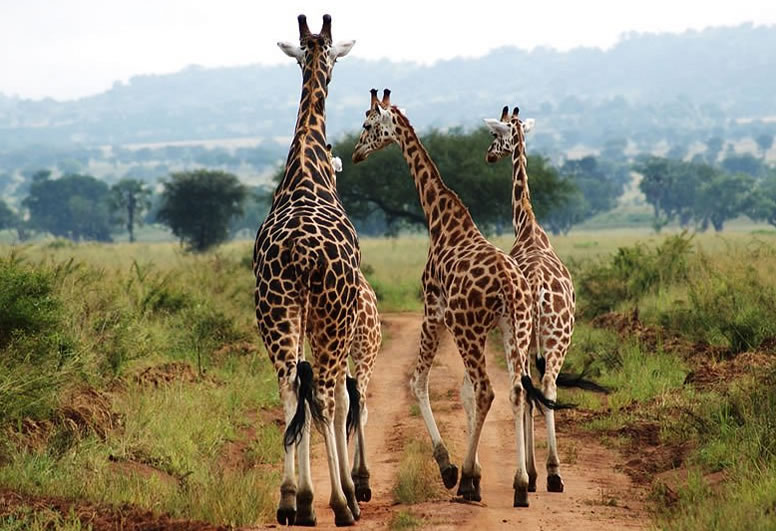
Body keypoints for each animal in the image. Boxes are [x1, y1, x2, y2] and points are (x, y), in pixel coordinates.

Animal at [352, 89, 564, 510]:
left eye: (367, 123)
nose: (355, 154)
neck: (442, 221)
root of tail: (512, 284)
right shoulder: (465, 324)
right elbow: (464, 390)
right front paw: (476, 473)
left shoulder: (433, 312)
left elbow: (419, 382)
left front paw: (451, 468)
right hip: (516, 328)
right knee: (520, 388)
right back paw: (521, 483)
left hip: (472, 329)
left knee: (488, 390)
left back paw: (471, 479)